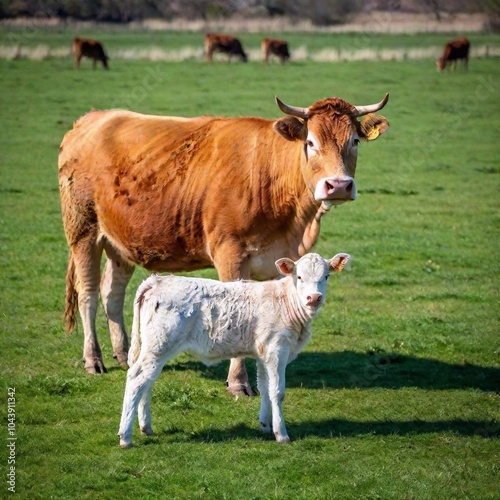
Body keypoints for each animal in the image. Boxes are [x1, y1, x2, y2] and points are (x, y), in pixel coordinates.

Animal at [58, 91, 390, 394]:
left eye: (354, 141)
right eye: (310, 142)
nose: (339, 186)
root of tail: (93, 118)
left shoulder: (277, 260)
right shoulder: (230, 254)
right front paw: (238, 382)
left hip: (120, 243)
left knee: (111, 294)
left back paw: (125, 354)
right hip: (83, 231)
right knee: (88, 294)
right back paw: (94, 359)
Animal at [118, 252, 350, 448]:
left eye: (326, 276)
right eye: (299, 277)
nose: (314, 298)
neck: (285, 301)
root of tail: (157, 280)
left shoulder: (263, 353)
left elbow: (264, 387)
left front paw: (265, 425)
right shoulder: (277, 350)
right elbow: (277, 391)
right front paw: (281, 434)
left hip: (155, 349)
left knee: (147, 382)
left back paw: (146, 427)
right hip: (159, 345)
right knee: (136, 379)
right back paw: (125, 436)